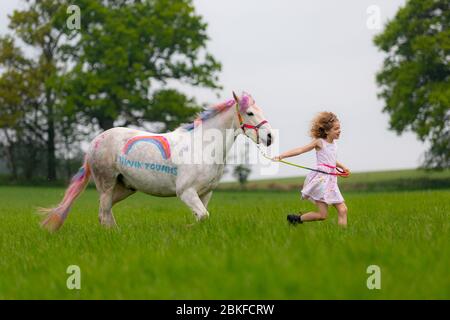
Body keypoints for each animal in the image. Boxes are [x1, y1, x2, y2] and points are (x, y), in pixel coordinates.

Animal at [41, 91, 270, 231]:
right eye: (250, 113)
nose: (269, 137)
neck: (203, 146)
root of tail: (94, 142)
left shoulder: (205, 193)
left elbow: (202, 217)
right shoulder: (186, 192)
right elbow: (203, 216)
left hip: (124, 188)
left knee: (104, 213)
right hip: (106, 184)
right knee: (104, 213)